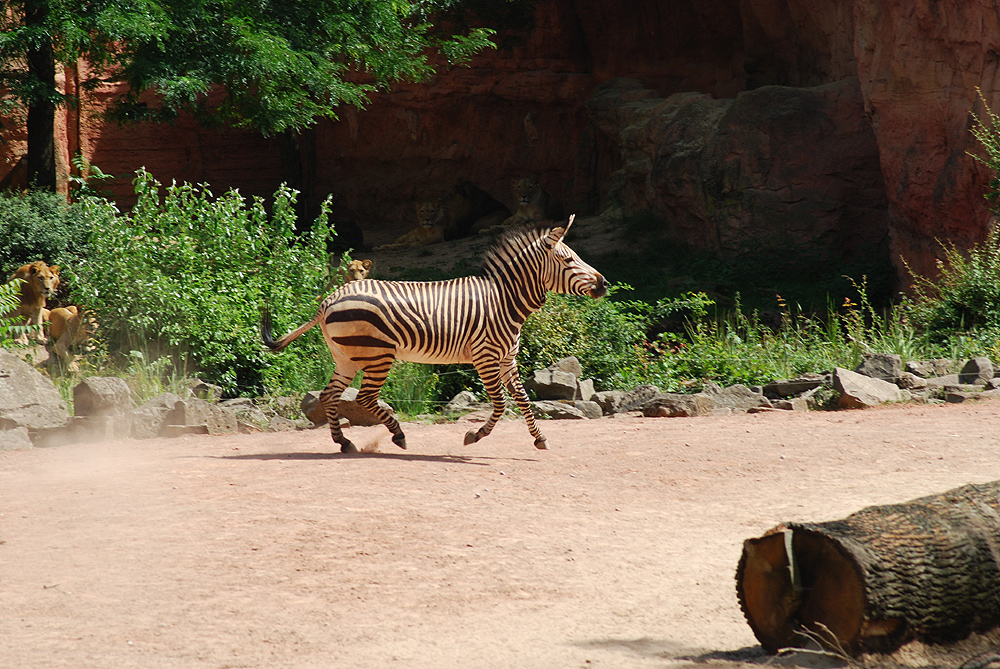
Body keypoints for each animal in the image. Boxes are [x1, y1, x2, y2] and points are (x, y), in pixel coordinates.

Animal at [262, 217, 604, 452]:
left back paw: (343, 442)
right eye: (569, 260)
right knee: (364, 397)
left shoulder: (507, 358)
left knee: (329, 395)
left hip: (346, 356)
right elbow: (501, 403)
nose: (603, 284)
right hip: (377, 355)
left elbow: (521, 397)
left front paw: (540, 438)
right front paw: (474, 436)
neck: (504, 300)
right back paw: (397, 434)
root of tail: (329, 300)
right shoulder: (485, 358)